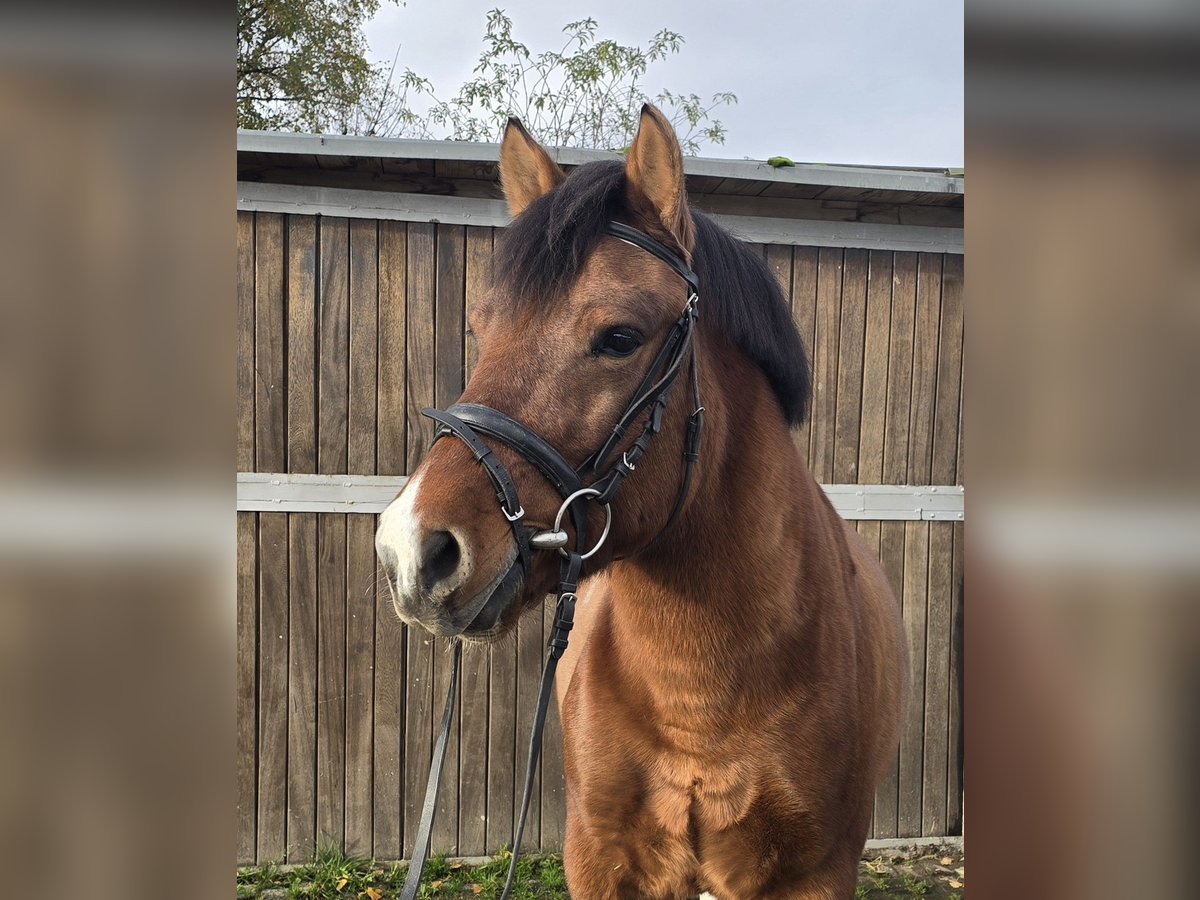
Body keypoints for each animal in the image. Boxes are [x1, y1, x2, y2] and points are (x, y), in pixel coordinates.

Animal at [379, 103, 902, 897]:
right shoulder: (604, 862)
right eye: (481, 328)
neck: (701, 696)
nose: (411, 550)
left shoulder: (813, 874)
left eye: (619, 337)